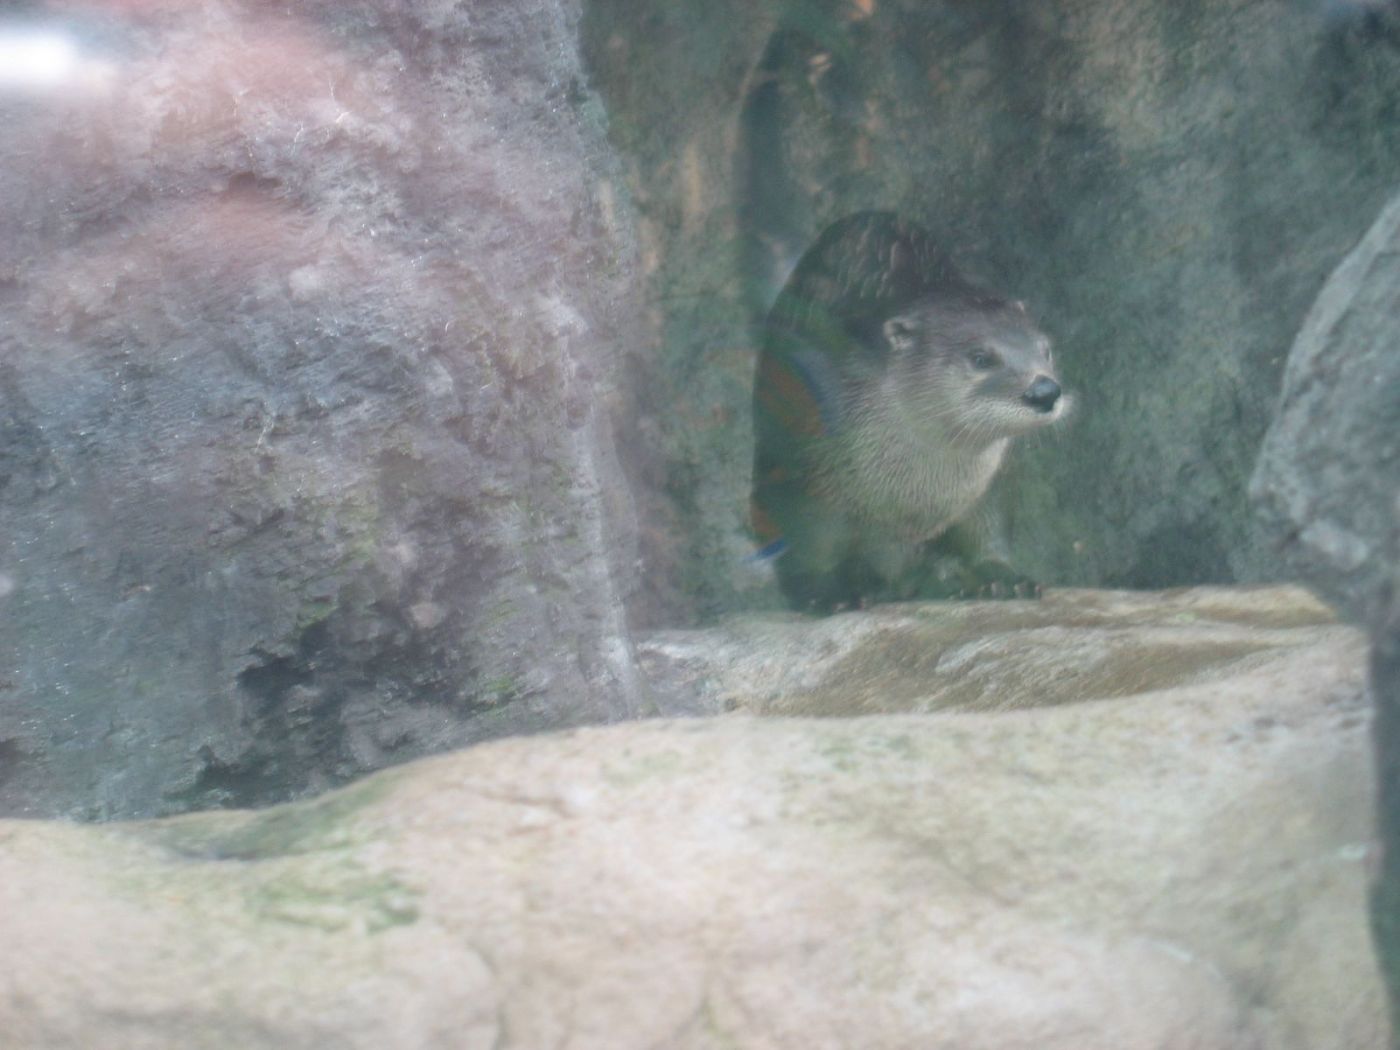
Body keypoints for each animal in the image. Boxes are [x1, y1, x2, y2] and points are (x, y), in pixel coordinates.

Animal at [750, 211, 1067, 612]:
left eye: (1045, 349)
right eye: (981, 358)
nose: (1045, 391)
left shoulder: (991, 483)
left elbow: (987, 531)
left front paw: (1001, 576)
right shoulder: (810, 470)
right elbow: (812, 546)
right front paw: (829, 595)